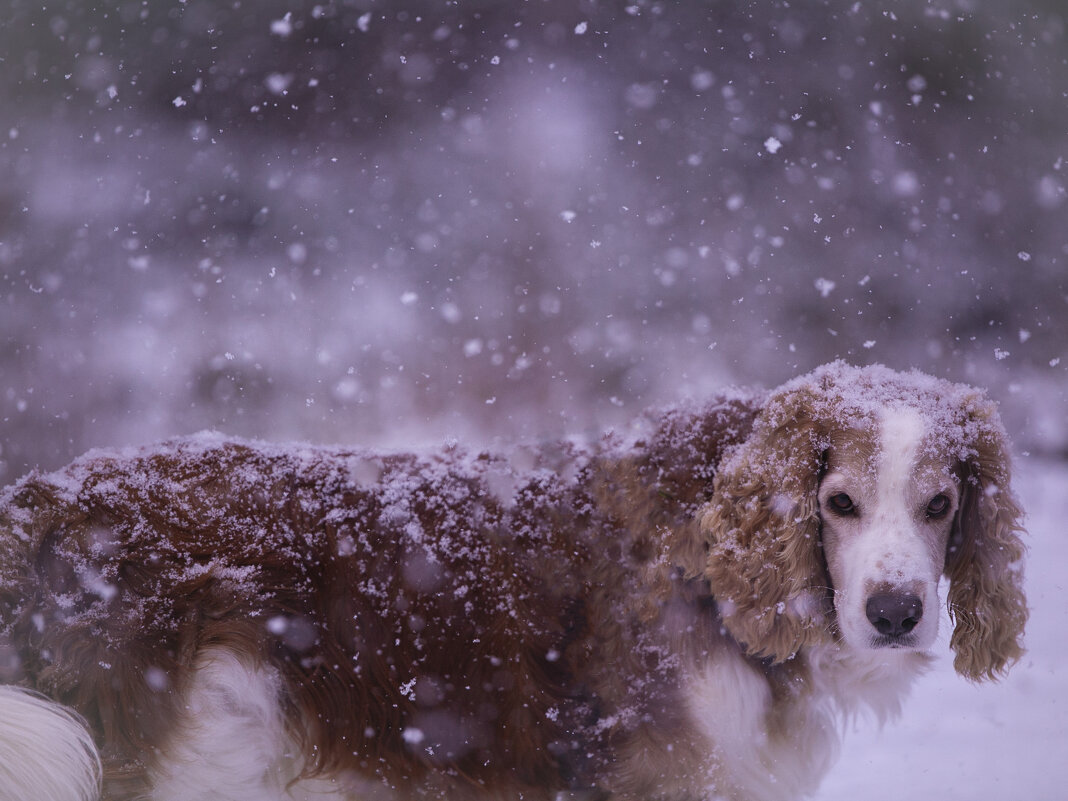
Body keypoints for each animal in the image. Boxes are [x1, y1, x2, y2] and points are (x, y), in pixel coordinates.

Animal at [0, 365, 1025, 801]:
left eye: (941, 503)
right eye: (839, 500)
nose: (895, 613)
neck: (709, 559)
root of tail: (43, 499)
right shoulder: (672, 776)